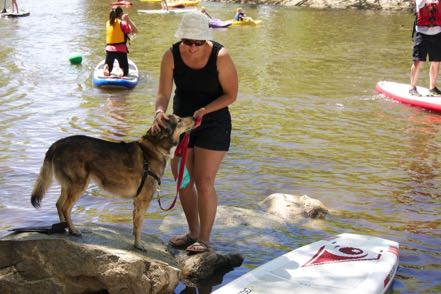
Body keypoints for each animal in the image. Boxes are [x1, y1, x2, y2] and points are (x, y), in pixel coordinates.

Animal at [28, 115, 192, 250]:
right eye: (179, 120)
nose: (194, 117)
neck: (154, 148)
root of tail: (57, 144)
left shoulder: (137, 202)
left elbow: (135, 225)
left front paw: (135, 242)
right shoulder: (143, 200)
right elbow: (139, 226)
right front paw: (138, 245)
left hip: (68, 186)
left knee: (58, 204)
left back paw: (64, 229)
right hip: (78, 185)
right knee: (65, 207)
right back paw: (73, 230)